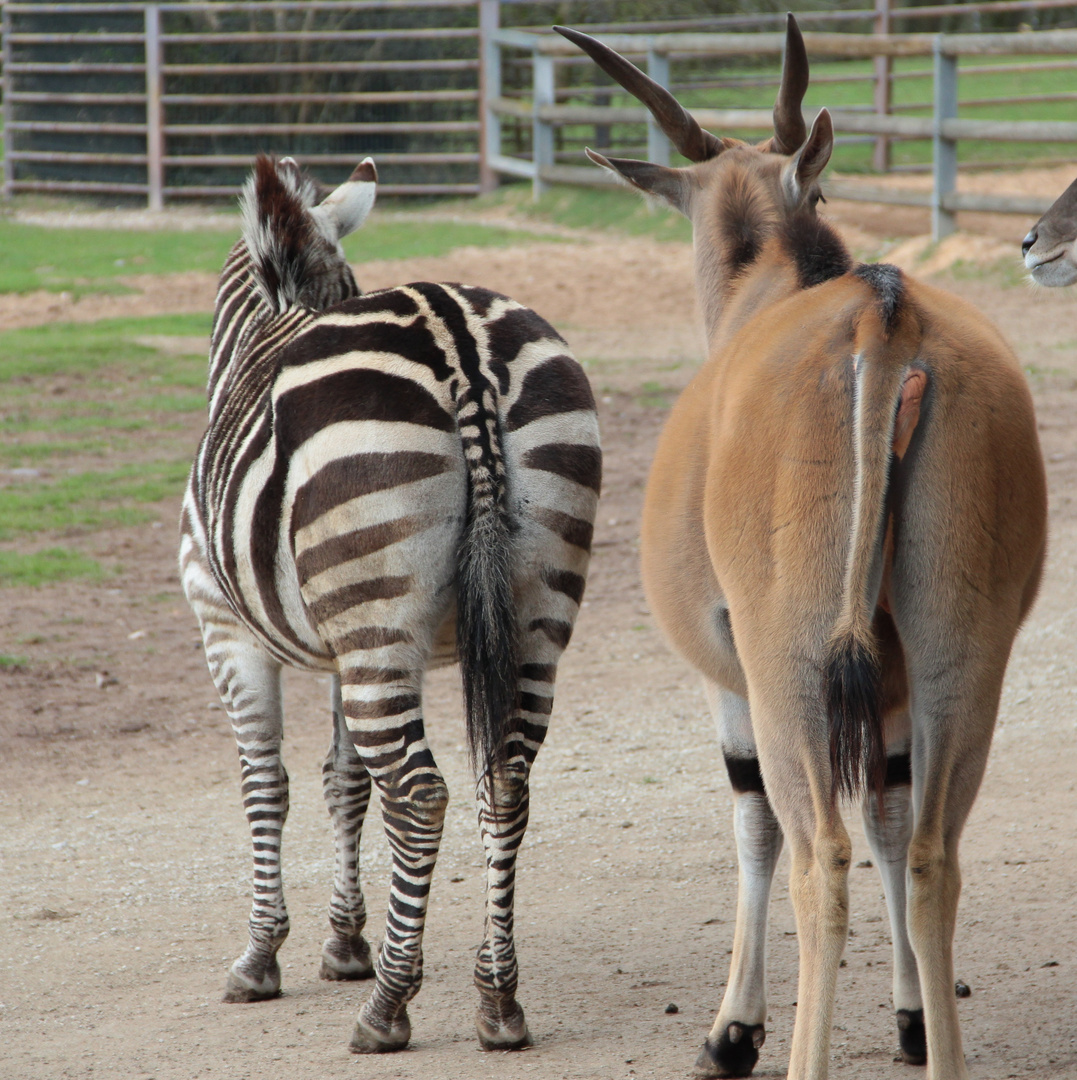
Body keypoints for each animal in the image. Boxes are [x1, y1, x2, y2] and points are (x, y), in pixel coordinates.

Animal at [176, 156, 596, 1049]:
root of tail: (459, 340)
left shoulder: (226, 629)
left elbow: (265, 782)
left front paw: (262, 956)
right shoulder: (343, 646)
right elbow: (344, 780)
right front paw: (343, 944)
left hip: (376, 614)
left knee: (422, 793)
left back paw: (389, 1007)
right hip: (527, 611)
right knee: (503, 783)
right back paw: (497, 1001)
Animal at [557, 16, 1045, 1080]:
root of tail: (884, 315)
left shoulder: (732, 676)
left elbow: (756, 825)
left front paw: (731, 1029)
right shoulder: (889, 699)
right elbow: (892, 819)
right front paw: (910, 1018)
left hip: (788, 667)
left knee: (817, 850)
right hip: (962, 656)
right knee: (932, 853)